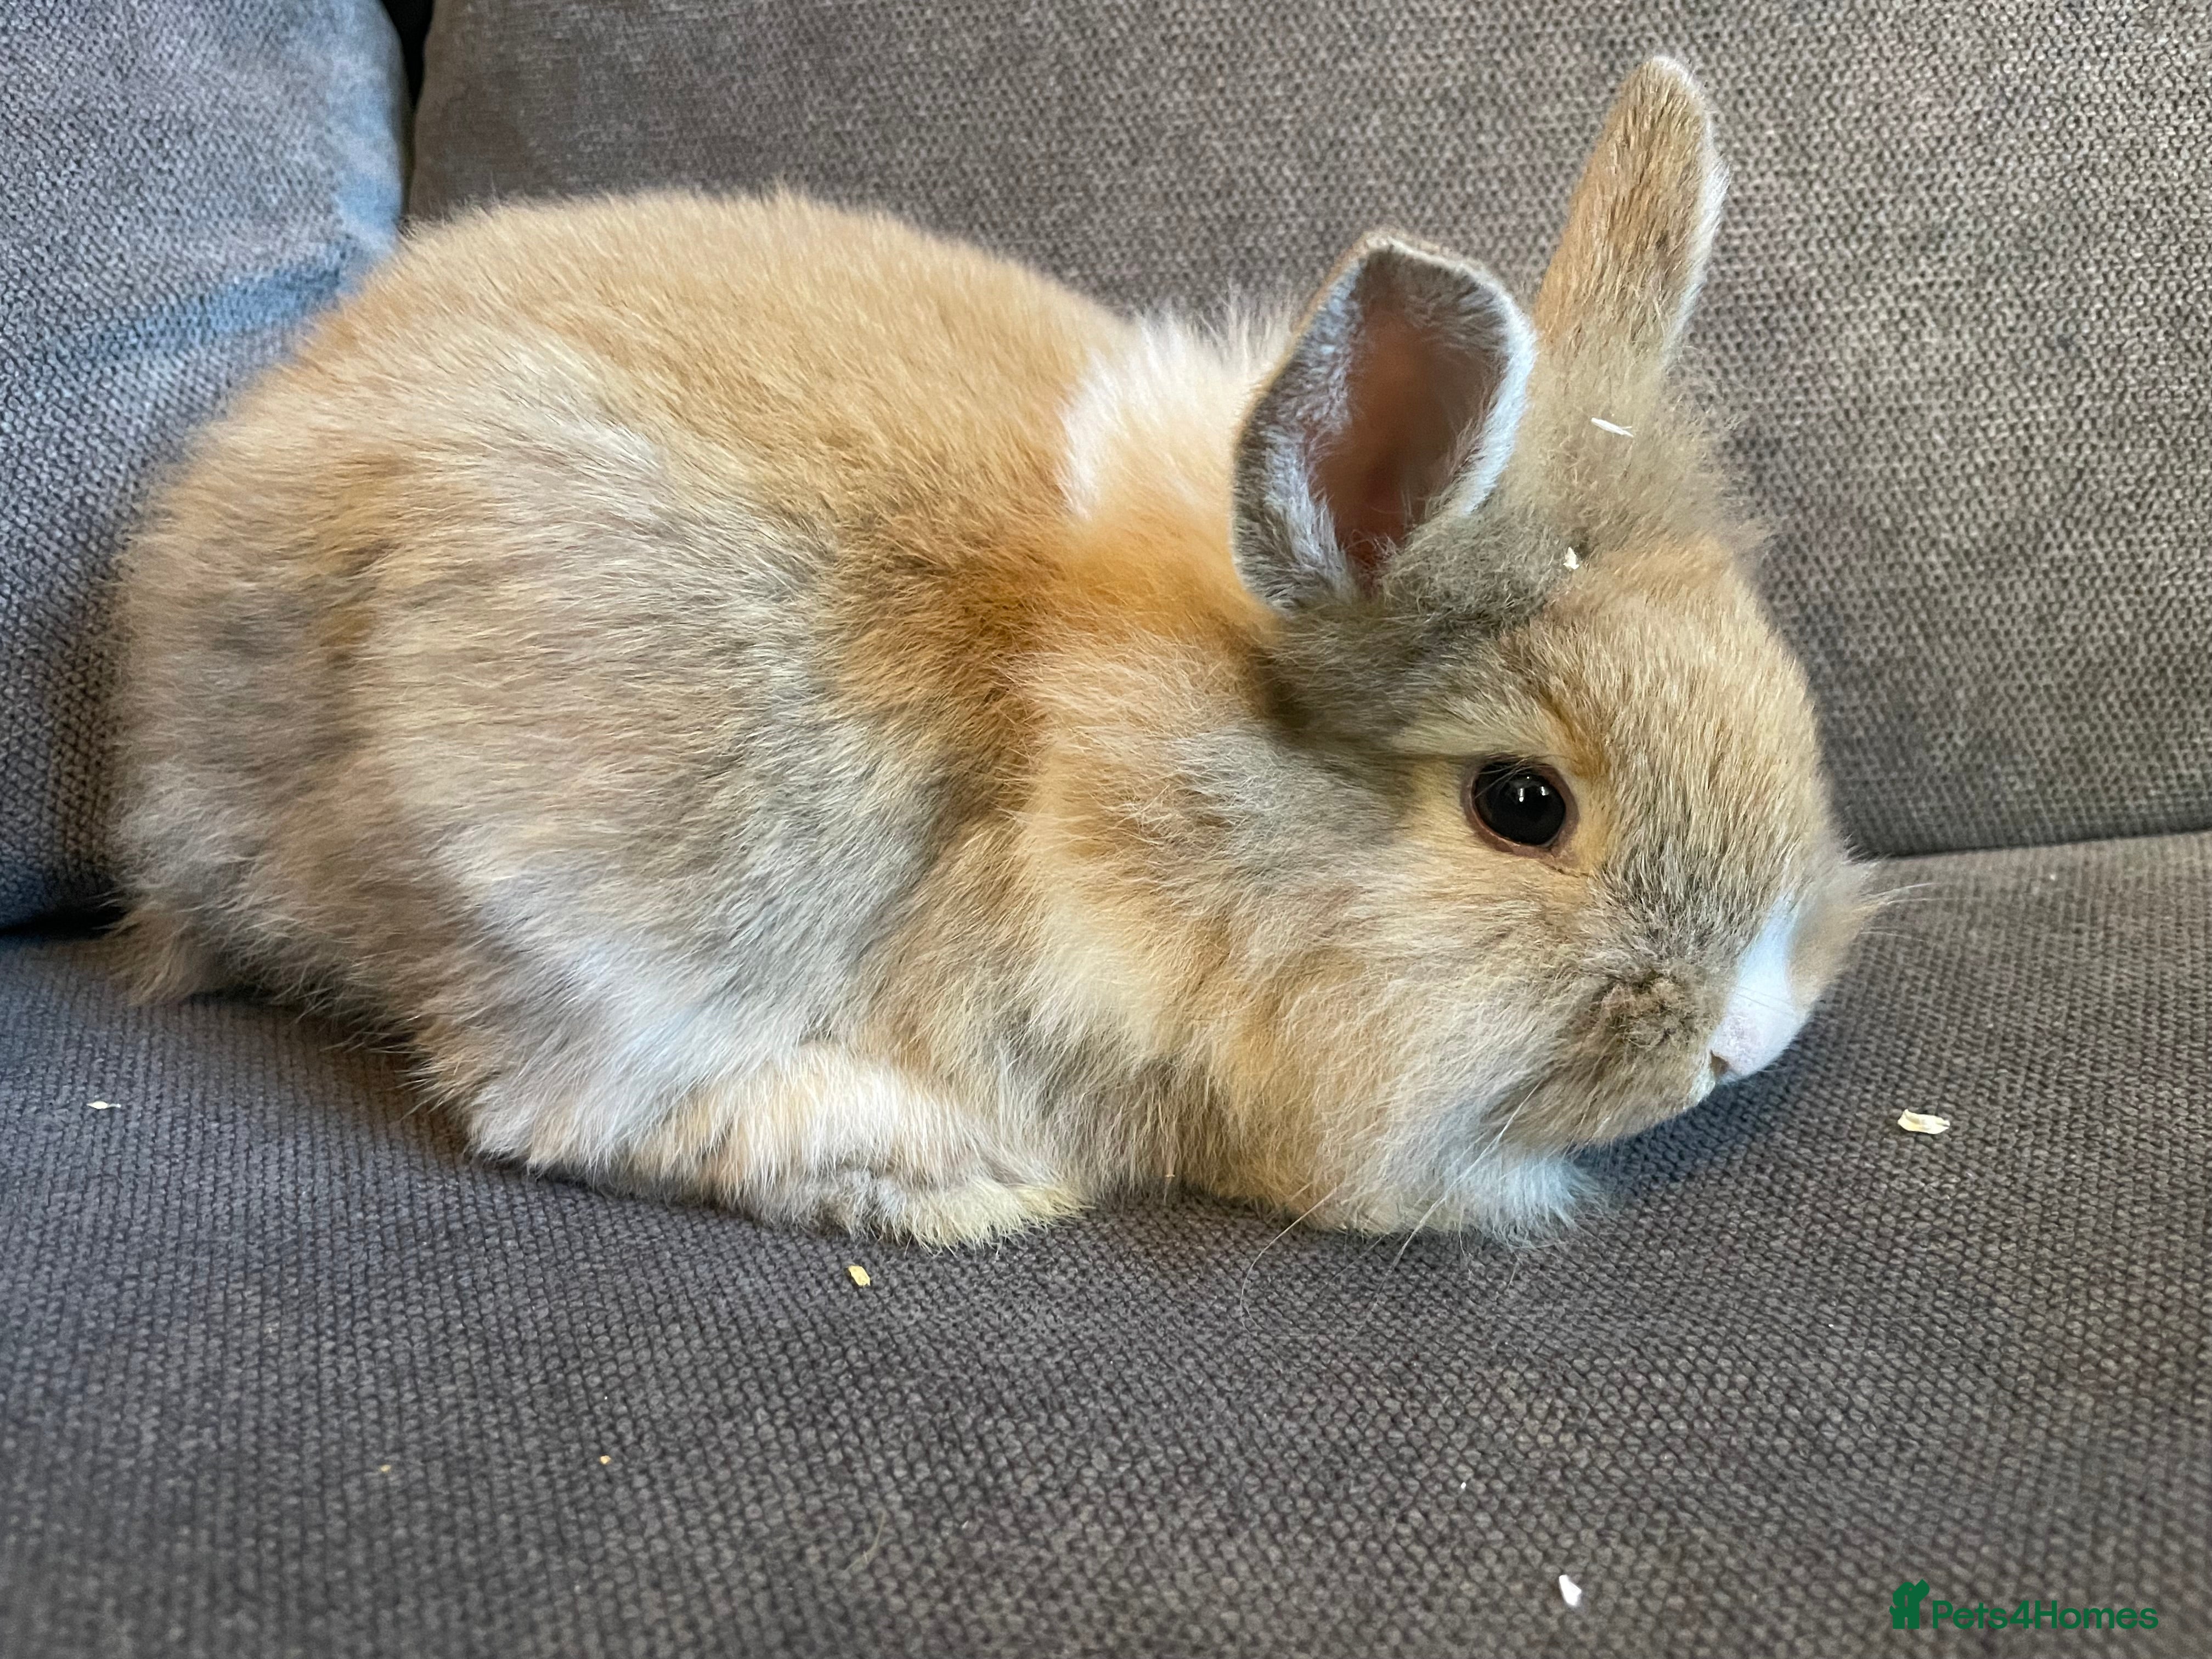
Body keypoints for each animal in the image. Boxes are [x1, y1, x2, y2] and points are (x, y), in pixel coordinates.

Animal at [116, 57, 1867, 1246]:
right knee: (550, 1105)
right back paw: (944, 1175)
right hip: (582, 863)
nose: (1748, 1042)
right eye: (1520, 806)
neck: (1085, 735)